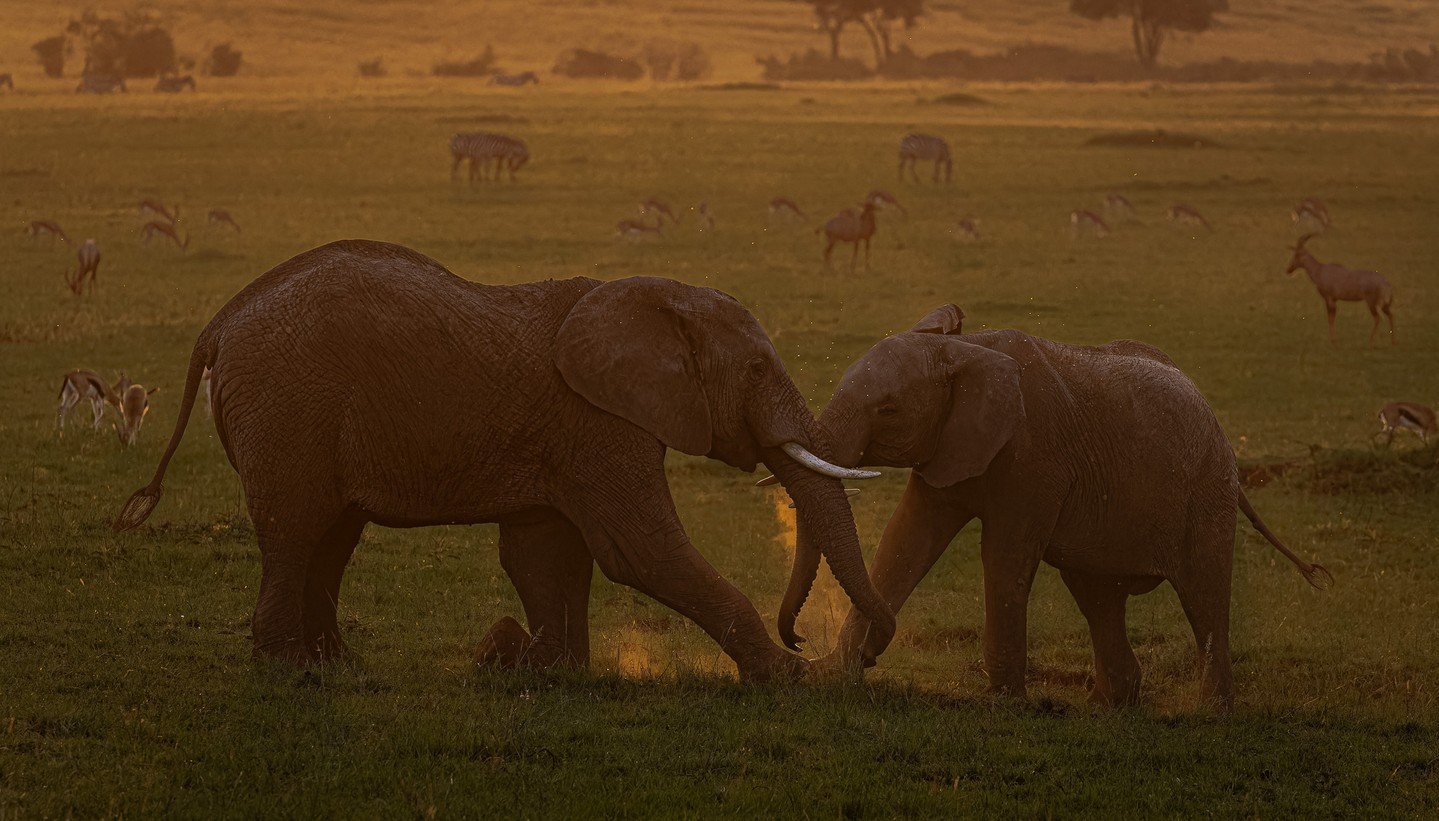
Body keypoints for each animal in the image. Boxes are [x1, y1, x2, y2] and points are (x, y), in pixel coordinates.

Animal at [113, 239, 895, 682]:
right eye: (758, 369)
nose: (811, 644)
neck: (652, 297)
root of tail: (219, 324)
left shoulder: (567, 432)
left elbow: (545, 553)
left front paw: (539, 666)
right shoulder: (599, 421)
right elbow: (639, 551)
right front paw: (782, 679)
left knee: (330, 537)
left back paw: (334, 665)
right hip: (288, 410)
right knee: (296, 530)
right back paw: (287, 669)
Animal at [773, 304, 1329, 707]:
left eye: (887, 409)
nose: (798, 643)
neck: (963, 349)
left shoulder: (1035, 460)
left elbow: (1004, 557)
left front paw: (1003, 703)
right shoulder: (952, 445)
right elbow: (906, 537)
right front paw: (838, 674)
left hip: (1208, 490)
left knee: (1204, 594)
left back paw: (1211, 711)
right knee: (1097, 594)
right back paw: (1112, 704)